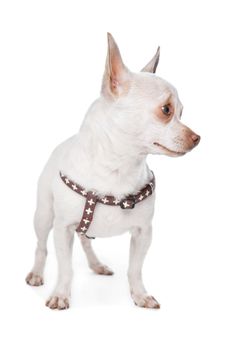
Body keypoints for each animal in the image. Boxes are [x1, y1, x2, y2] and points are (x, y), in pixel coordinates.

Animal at [25, 34, 200, 310]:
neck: (119, 167)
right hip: (43, 217)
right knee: (41, 246)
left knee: (86, 240)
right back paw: (36, 273)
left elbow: (135, 268)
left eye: (182, 113)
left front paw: (140, 295)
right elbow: (65, 268)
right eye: (166, 110)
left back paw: (97, 265)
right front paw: (61, 294)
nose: (197, 138)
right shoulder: (62, 229)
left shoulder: (143, 233)